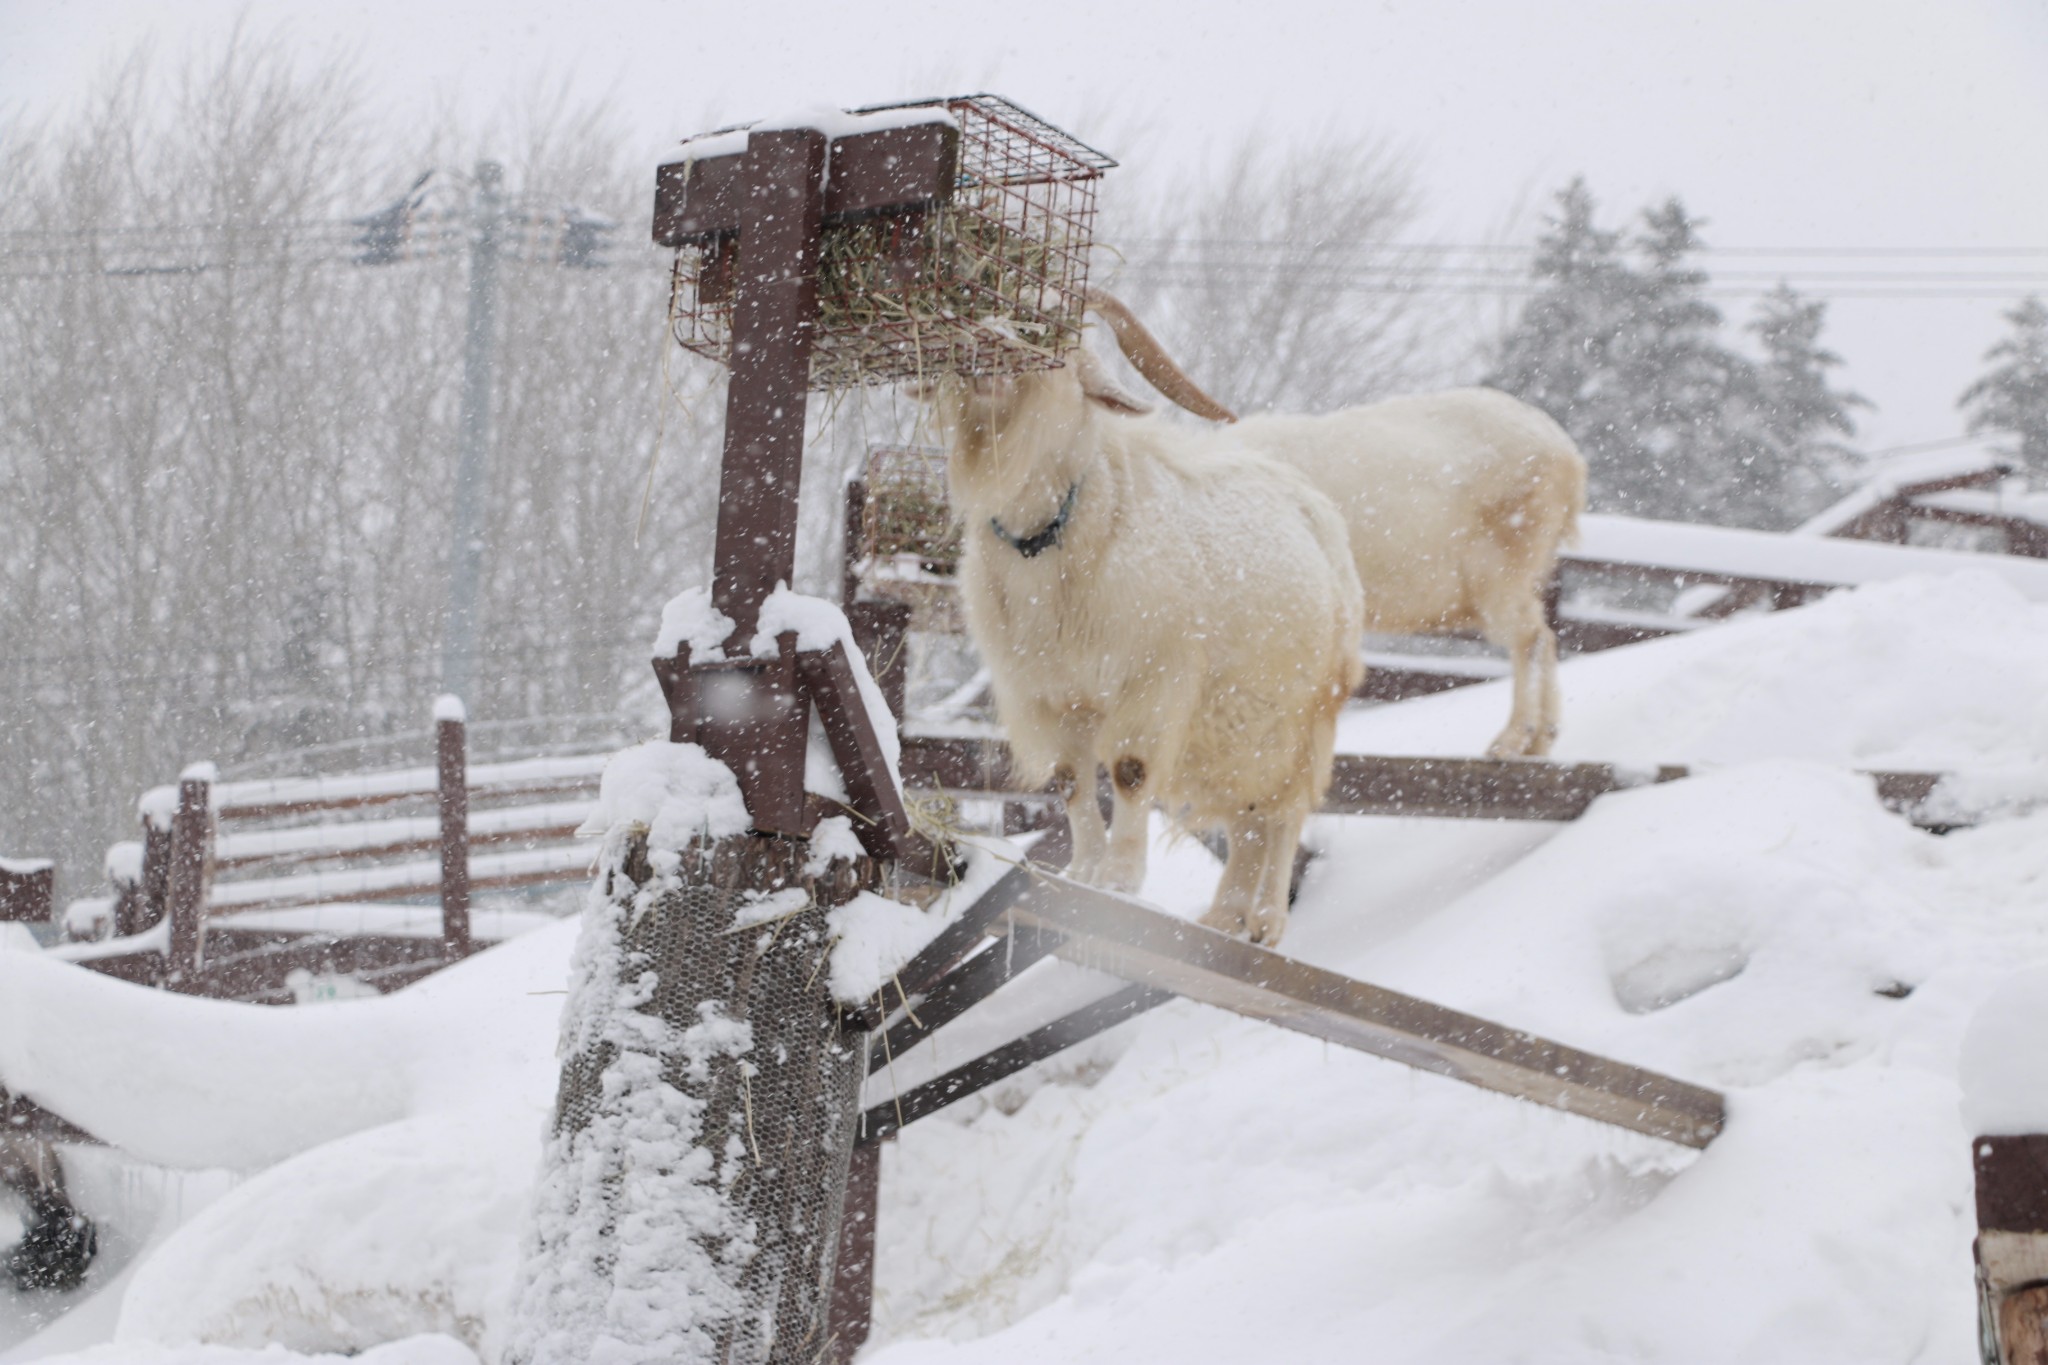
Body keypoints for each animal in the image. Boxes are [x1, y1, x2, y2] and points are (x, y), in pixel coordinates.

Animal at [929, 347, 1359, 945]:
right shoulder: (1052, 694)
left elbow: (1129, 773)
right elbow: (1070, 782)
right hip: (1232, 728)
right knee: (1248, 817)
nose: (989, 371)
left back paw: (1267, 923)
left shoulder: (1154, 677)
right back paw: (1224, 919)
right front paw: (1083, 872)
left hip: (1304, 716)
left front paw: (1120, 880)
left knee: (1285, 812)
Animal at [1097, 294, 1589, 757]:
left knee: (1530, 637)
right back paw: (1542, 740)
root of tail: (1565, 454)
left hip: (1500, 569)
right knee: (1545, 636)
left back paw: (1511, 741)